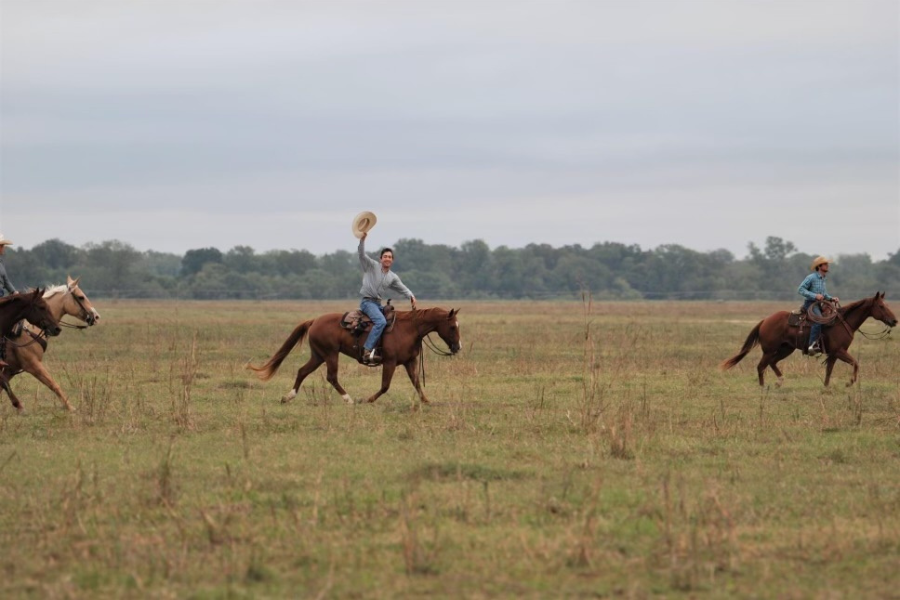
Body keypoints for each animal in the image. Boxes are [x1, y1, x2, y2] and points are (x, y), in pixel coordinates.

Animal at [0, 278, 101, 412]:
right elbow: (53, 384)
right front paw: (70, 407)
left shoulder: (11, 369)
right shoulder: (32, 364)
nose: (96, 316)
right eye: (81, 297)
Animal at [250, 310, 464, 404]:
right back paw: (349, 399)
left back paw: (288, 396)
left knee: (302, 371)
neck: (408, 329)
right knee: (332, 377)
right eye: (452, 327)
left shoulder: (409, 362)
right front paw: (368, 399)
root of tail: (315, 320)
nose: (458, 347)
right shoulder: (390, 362)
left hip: (318, 355)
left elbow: (417, 383)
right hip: (330, 354)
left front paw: (426, 401)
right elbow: (385, 386)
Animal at [720, 292, 896, 386]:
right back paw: (763, 387)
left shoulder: (834, 354)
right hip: (769, 350)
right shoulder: (839, 351)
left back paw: (780, 381)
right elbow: (855, 363)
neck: (843, 321)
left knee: (772, 363)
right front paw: (849, 383)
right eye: (881, 306)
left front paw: (826, 388)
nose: (894, 320)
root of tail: (765, 320)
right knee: (761, 366)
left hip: (786, 349)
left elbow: (829, 371)